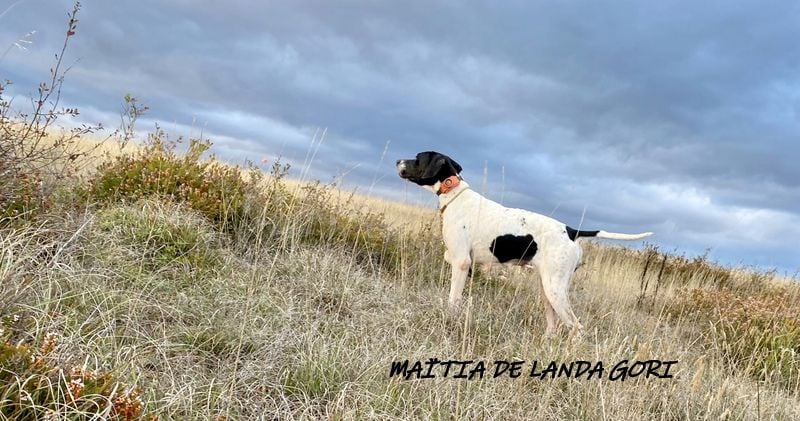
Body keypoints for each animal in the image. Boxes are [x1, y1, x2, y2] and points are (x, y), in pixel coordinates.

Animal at [396, 151, 652, 334]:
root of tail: (571, 231)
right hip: (548, 290)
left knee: (576, 327)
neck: (455, 196)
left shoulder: (461, 264)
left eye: (418, 158)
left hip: (555, 291)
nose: (398, 160)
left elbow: (453, 301)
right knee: (553, 326)